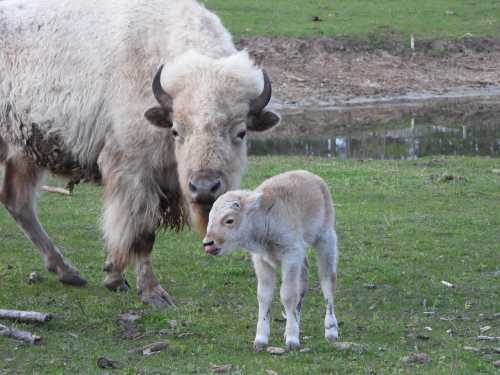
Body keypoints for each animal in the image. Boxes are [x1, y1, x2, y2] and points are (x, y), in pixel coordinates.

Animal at [0, 0, 282, 308]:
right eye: (177, 130)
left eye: (240, 132)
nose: (205, 188)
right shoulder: (136, 174)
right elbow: (142, 234)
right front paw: (152, 292)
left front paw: (113, 274)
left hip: (23, 155)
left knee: (18, 202)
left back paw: (67, 272)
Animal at [203, 172, 340, 352]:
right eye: (210, 218)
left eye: (229, 220)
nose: (208, 243)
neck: (265, 217)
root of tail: (314, 178)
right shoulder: (262, 260)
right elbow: (264, 296)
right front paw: (261, 340)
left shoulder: (290, 255)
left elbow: (288, 294)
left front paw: (292, 340)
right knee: (303, 280)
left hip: (325, 239)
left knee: (327, 280)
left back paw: (331, 331)